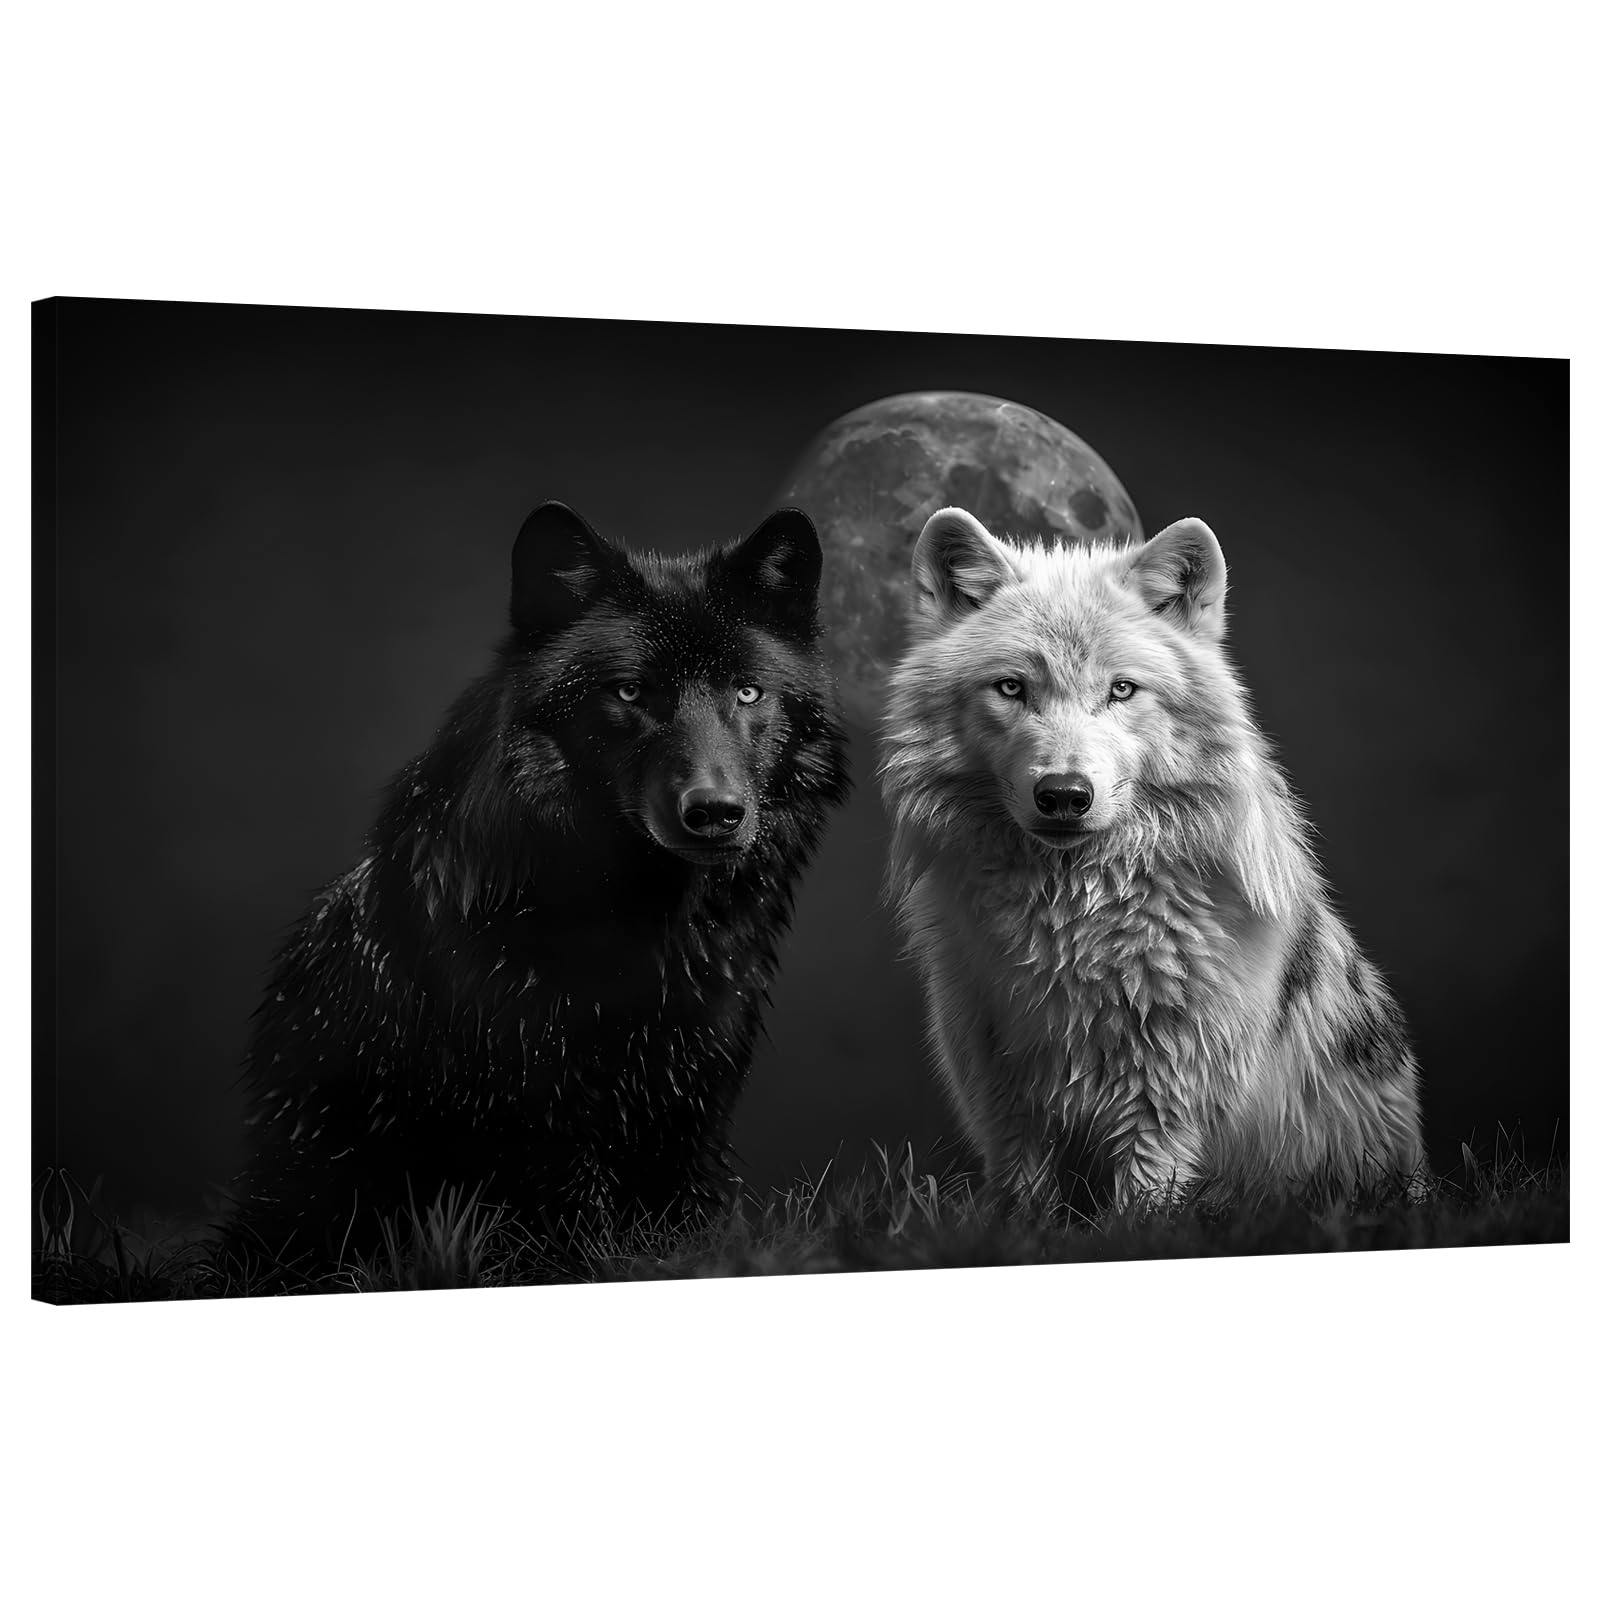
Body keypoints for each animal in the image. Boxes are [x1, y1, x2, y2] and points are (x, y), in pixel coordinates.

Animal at [227, 500, 848, 1268]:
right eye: (630, 691)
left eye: (748, 691)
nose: (715, 812)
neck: (646, 929)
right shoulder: (539, 1110)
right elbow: (578, 1238)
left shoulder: (695, 1095)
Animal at [881, 507, 1426, 1211]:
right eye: (1011, 688)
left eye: (1121, 690)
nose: (1064, 794)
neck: (1075, 923)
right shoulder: (1003, 1093)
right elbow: (1025, 1201)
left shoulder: (1165, 1095)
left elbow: (1143, 1202)